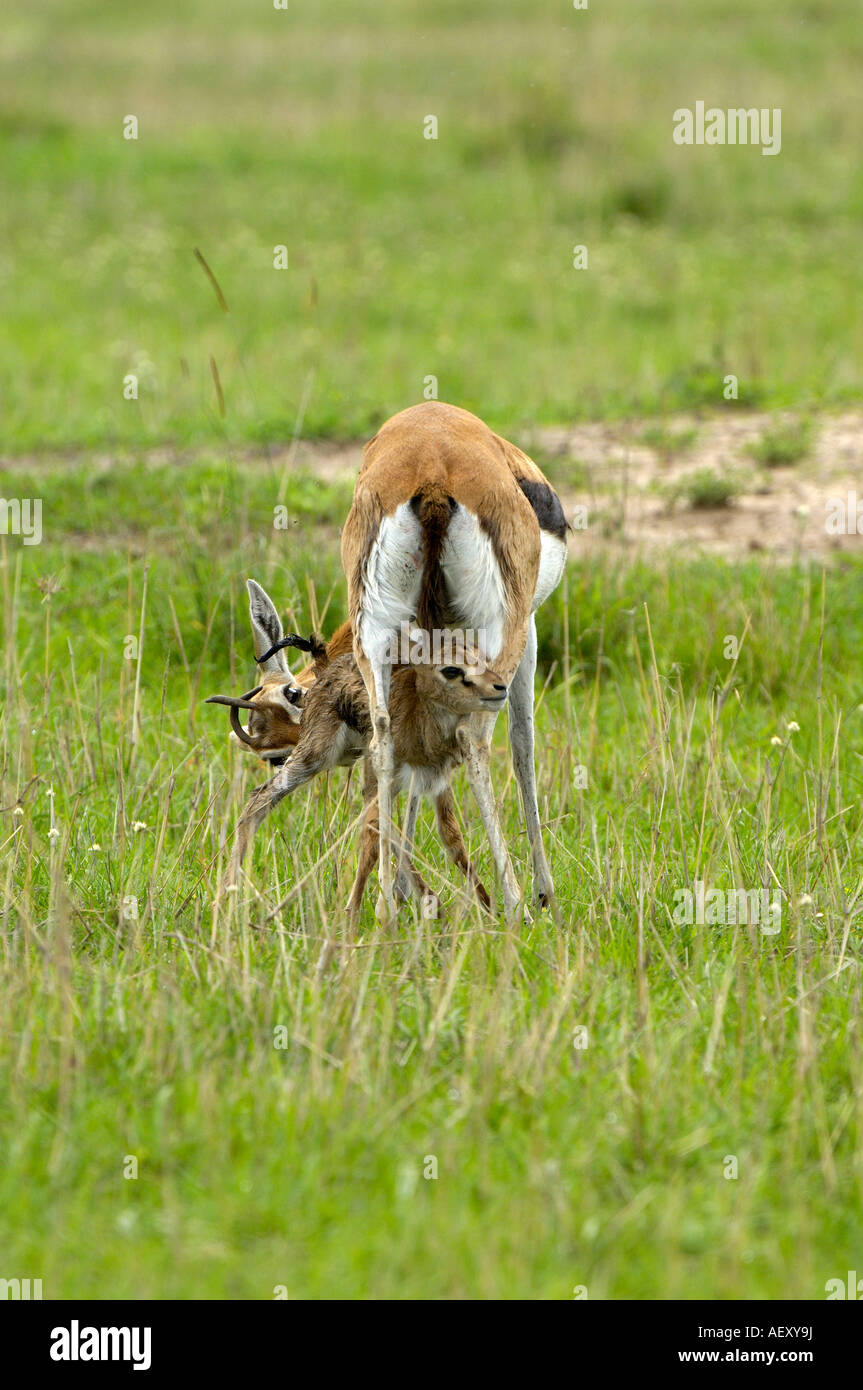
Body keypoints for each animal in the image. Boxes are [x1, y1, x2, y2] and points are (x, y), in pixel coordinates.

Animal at [339, 401, 567, 922]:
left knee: (383, 738)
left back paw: (384, 903)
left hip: (375, 633)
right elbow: (523, 746)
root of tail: (431, 473)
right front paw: (545, 891)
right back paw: (516, 903)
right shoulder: (528, 635)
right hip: (502, 634)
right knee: (476, 738)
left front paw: (405, 889)